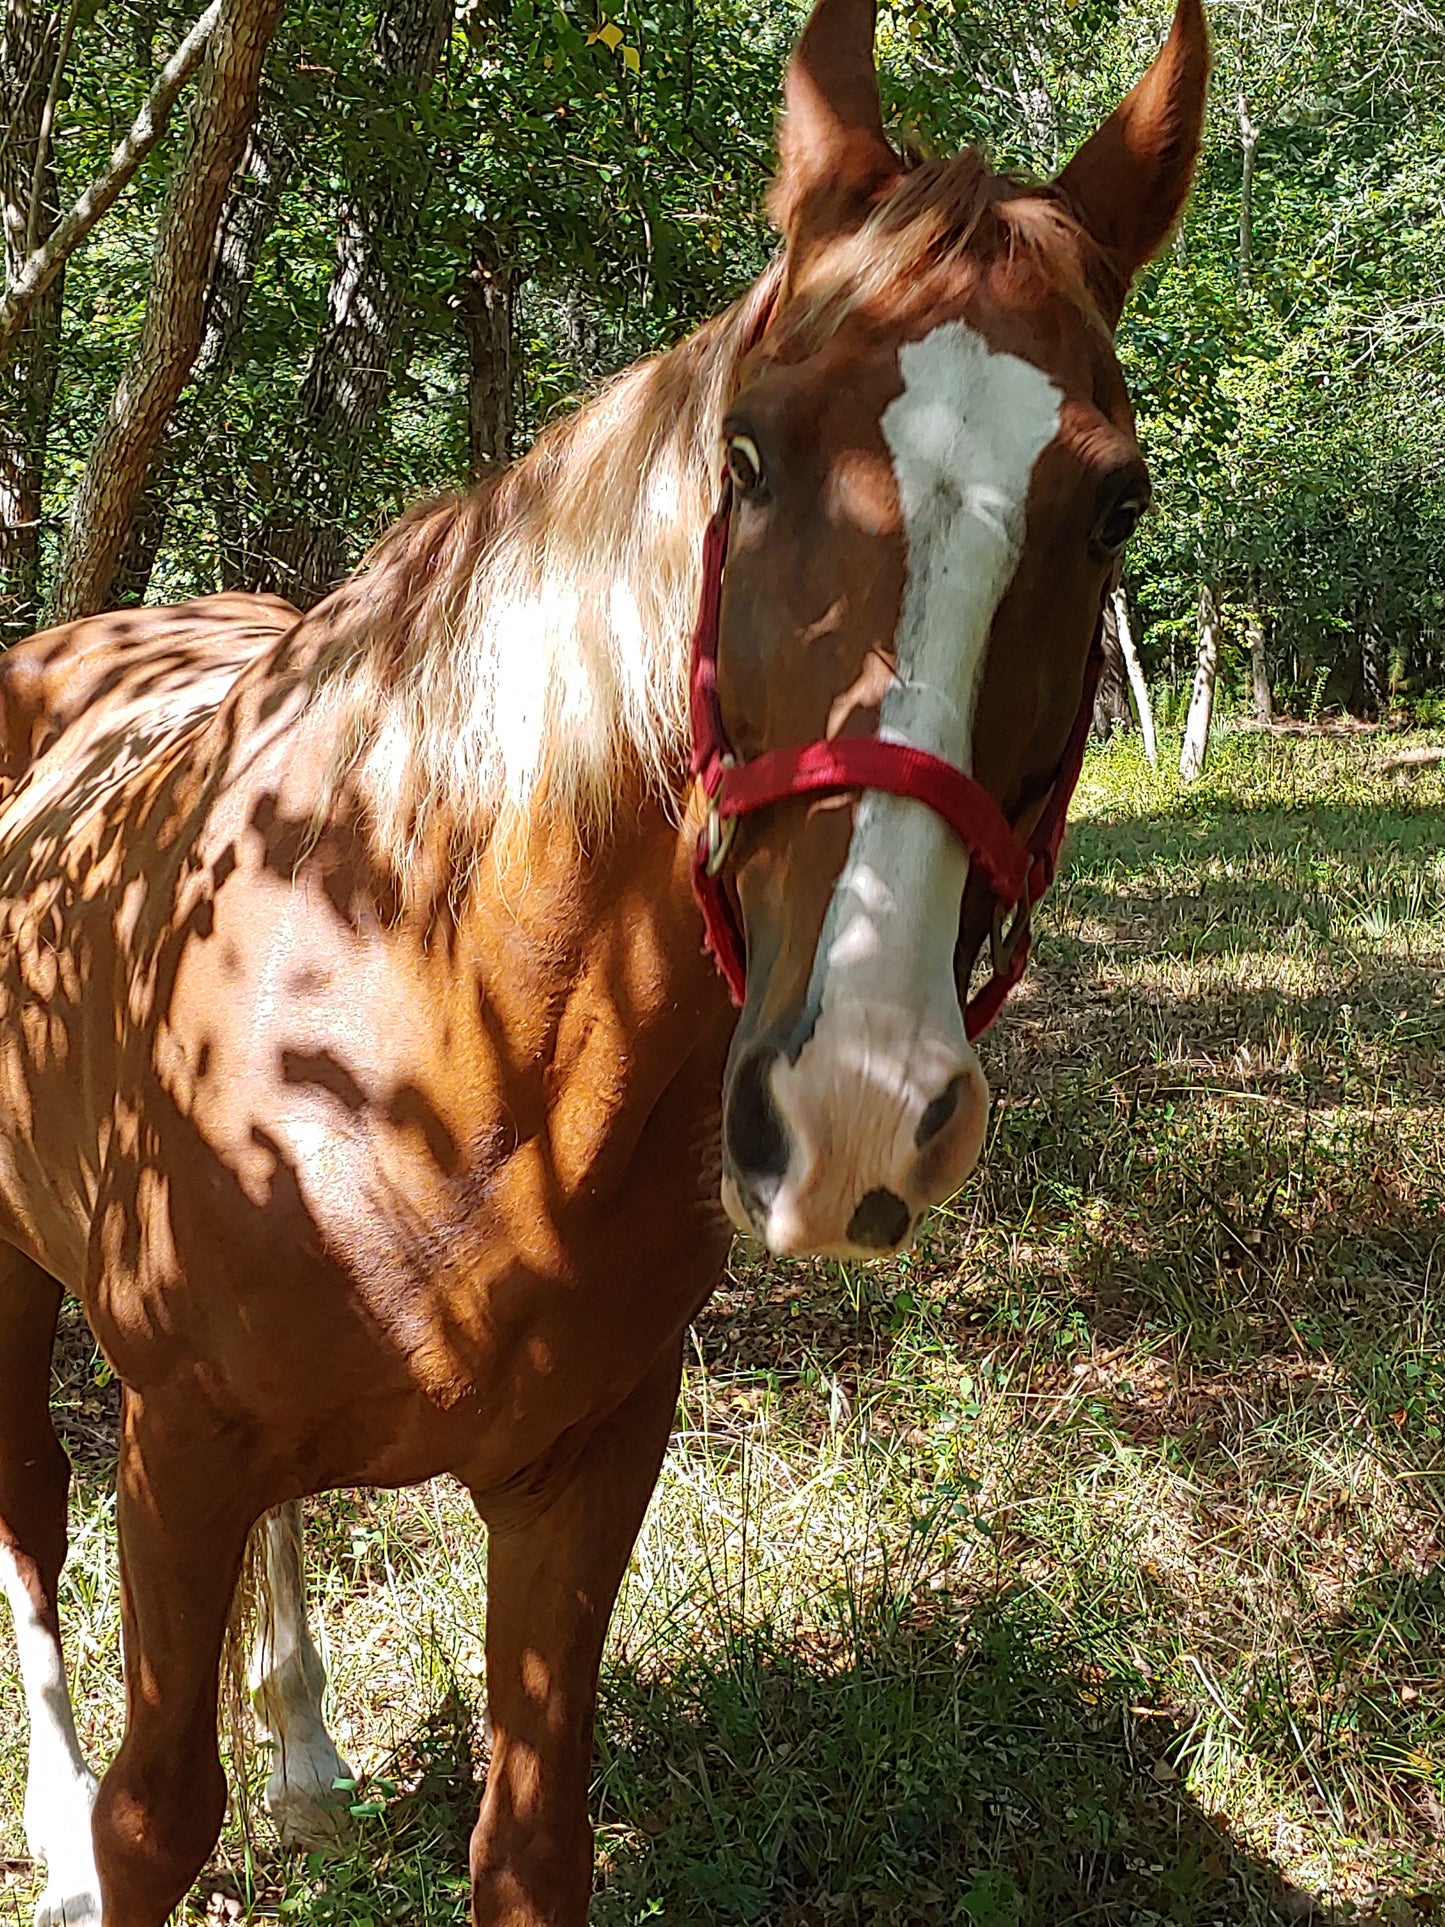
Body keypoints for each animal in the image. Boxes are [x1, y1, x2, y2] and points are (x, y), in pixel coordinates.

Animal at [0, 0, 1209, 1919]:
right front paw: (109, 1823)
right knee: (27, 1511)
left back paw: (307, 1746)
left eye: (1116, 508)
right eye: (751, 457)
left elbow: (531, 1835)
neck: (443, 1035)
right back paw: (47, 1817)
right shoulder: (174, 1454)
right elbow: (153, 1816)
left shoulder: (586, 1474)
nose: (856, 1096)